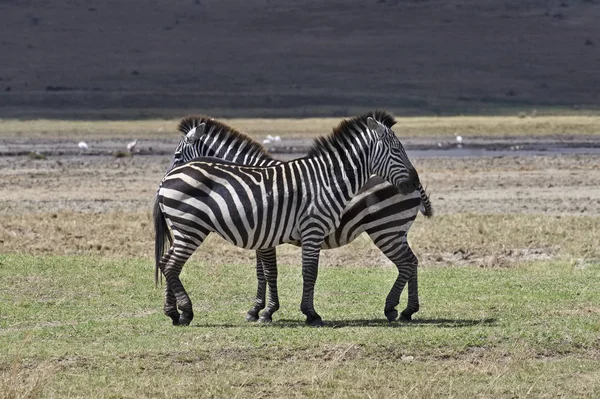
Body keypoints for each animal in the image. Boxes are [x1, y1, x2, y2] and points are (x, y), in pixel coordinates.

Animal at [157, 112, 434, 324]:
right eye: (397, 150)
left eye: (177, 155)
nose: (413, 181)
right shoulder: (270, 233)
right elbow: (270, 273)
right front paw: (269, 311)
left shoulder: (275, 234)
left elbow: (284, 272)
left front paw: (270, 312)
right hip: (391, 230)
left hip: (387, 228)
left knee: (408, 263)